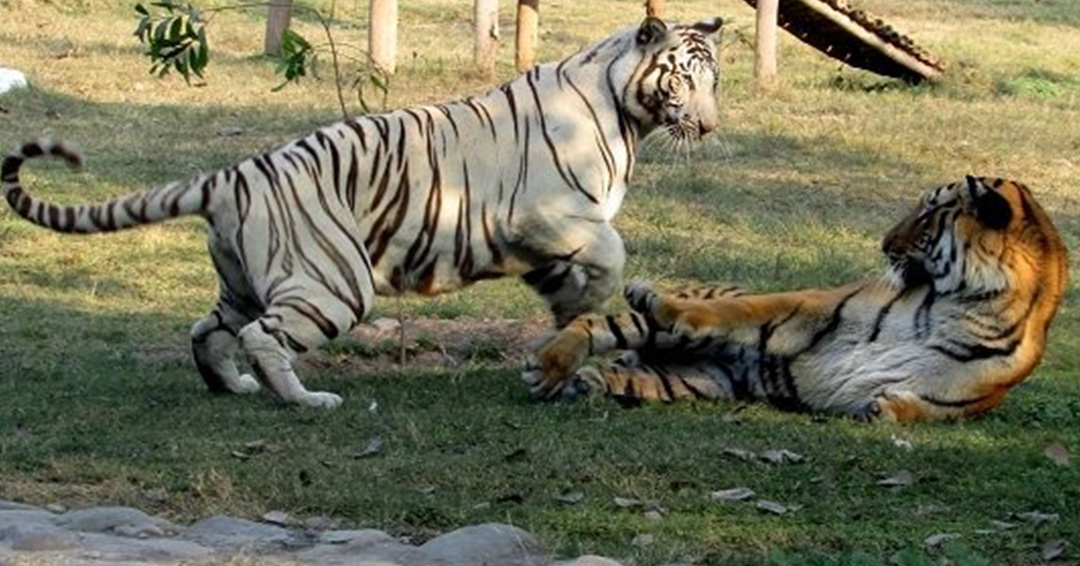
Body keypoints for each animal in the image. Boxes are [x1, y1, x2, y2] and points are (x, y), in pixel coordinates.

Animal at [1, 16, 724, 408]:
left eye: (714, 79)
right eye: (683, 78)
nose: (712, 125)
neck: (626, 111)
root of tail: (233, 173)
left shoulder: (538, 243)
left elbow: (571, 289)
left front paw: (568, 334)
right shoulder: (540, 214)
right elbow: (611, 251)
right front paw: (588, 310)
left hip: (244, 279)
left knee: (208, 331)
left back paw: (231, 387)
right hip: (334, 282)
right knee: (264, 336)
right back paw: (305, 400)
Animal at [524, 176, 1068, 422]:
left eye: (928, 214)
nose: (883, 244)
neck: (965, 307)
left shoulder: (961, 404)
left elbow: (920, 409)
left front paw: (883, 409)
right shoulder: (821, 308)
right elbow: (738, 311)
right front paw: (667, 304)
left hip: (703, 380)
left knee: (634, 376)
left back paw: (584, 382)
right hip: (661, 339)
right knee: (597, 325)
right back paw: (551, 365)